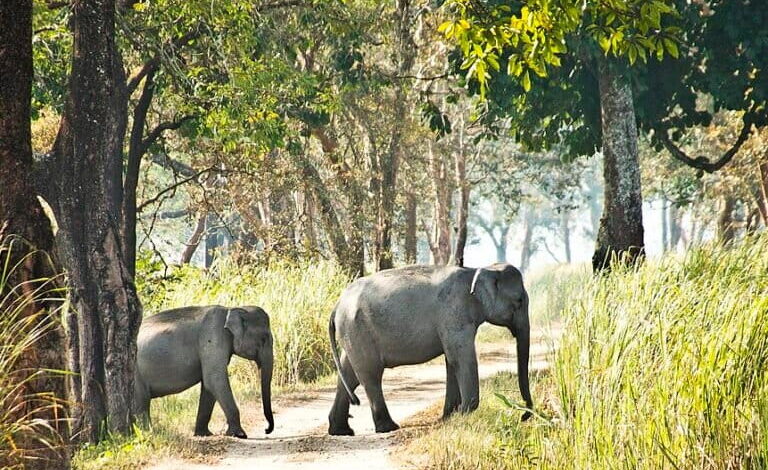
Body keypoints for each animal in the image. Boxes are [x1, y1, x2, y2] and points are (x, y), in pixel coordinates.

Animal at [133, 305, 274, 438]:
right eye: (263, 339)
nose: (266, 430)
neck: (230, 309)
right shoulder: (213, 338)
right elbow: (215, 380)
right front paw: (240, 434)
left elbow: (208, 386)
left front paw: (204, 434)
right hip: (137, 378)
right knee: (142, 403)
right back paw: (147, 433)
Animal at [327, 263, 532, 436]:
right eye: (519, 300)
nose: (523, 416)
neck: (480, 269)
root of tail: (336, 306)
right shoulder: (454, 314)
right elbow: (460, 358)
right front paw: (464, 414)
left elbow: (452, 361)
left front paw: (450, 416)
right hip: (359, 331)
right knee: (371, 375)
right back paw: (388, 428)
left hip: (352, 335)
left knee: (348, 374)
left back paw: (341, 431)